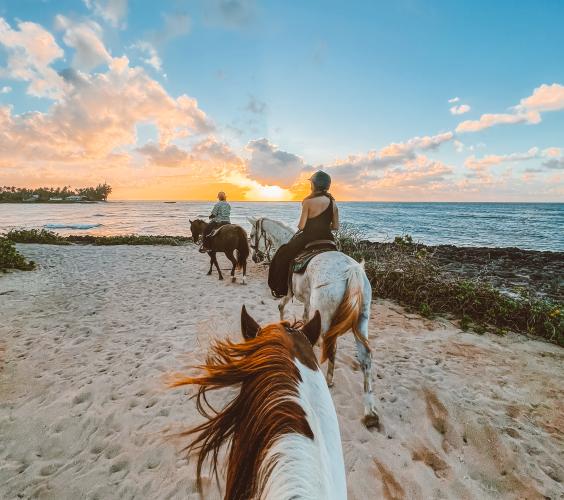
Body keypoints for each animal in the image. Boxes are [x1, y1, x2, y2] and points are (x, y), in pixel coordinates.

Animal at [247, 217, 378, 428]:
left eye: (251, 235)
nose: (255, 258)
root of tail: (352, 271)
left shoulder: (290, 293)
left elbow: (282, 308)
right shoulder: (308, 302)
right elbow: (305, 318)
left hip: (326, 315)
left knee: (331, 347)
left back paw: (328, 379)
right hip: (361, 320)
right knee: (365, 358)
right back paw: (370, 413)